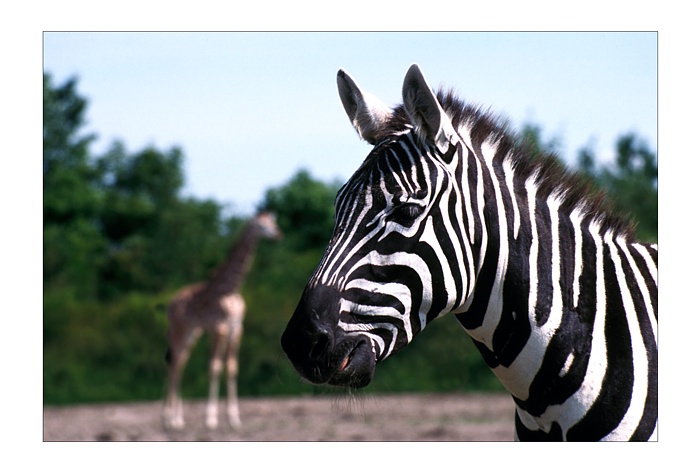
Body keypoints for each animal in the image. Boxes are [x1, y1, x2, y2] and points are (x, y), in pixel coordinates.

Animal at [164, 211, 282, 430]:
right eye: (262, 225)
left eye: (273, 222)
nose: (278, 234)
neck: (231, 289)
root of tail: (170, 304)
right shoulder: (219, 328)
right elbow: (215, 367)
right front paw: (210, 419)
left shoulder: (236, 328)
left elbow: (232, 368)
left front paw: (234, 418)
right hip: (179, 331)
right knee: (174, 364)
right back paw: (168, 419)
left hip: (192, 334)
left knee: (180, 364)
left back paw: (177, 418)